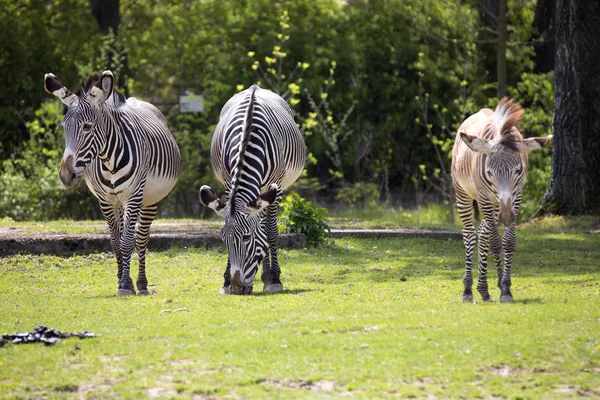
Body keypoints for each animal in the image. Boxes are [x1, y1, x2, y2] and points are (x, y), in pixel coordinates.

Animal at [44, 70, 180, 296]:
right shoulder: (105, 201)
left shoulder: (133, 196)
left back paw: (141, 283)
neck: (110, 161)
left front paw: (126, 284)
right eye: (64, 127)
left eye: (87, 127)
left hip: (149, 200)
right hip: (119, 203)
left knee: (141, 239)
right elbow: (116, 241)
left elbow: (127, 242)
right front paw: (122, 280)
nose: (65, 176)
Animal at [199, 86, 308, 296]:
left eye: (246, 237)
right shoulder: (228, 182)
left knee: (266, 226)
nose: (236, 287)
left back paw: (268, 276)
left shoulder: (275, 185)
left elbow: (270, 232)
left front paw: (274, 278)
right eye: (223, 239)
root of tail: (254, 88)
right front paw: (226, 280)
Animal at [450, 97, 552, 304]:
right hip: (464, 194)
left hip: (495, 204)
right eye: (490, 172)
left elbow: (508, 241)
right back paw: (468, 289)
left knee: (483, 232)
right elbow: (494, 240)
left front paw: (505, 288)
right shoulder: (485, 197)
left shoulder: (517, 195)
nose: (505, 217)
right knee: (471, 234)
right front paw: (483, 289)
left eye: (518, 170)